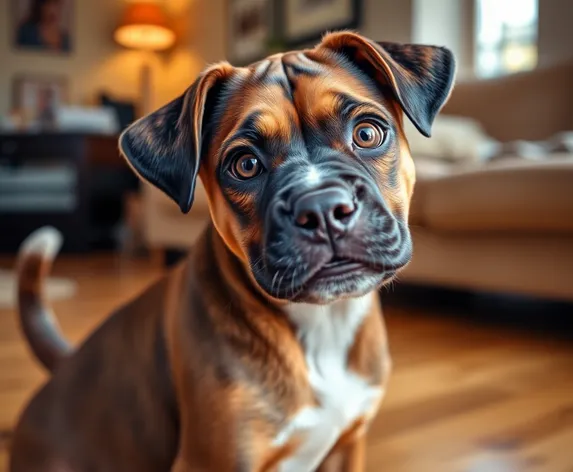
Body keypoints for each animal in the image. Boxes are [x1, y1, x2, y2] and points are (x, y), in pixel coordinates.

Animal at [10, 31, 456, 470]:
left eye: (367, 133)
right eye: (245, 164)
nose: (322, 208)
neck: (321, 322)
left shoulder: (347, 447)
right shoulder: (214, 459)